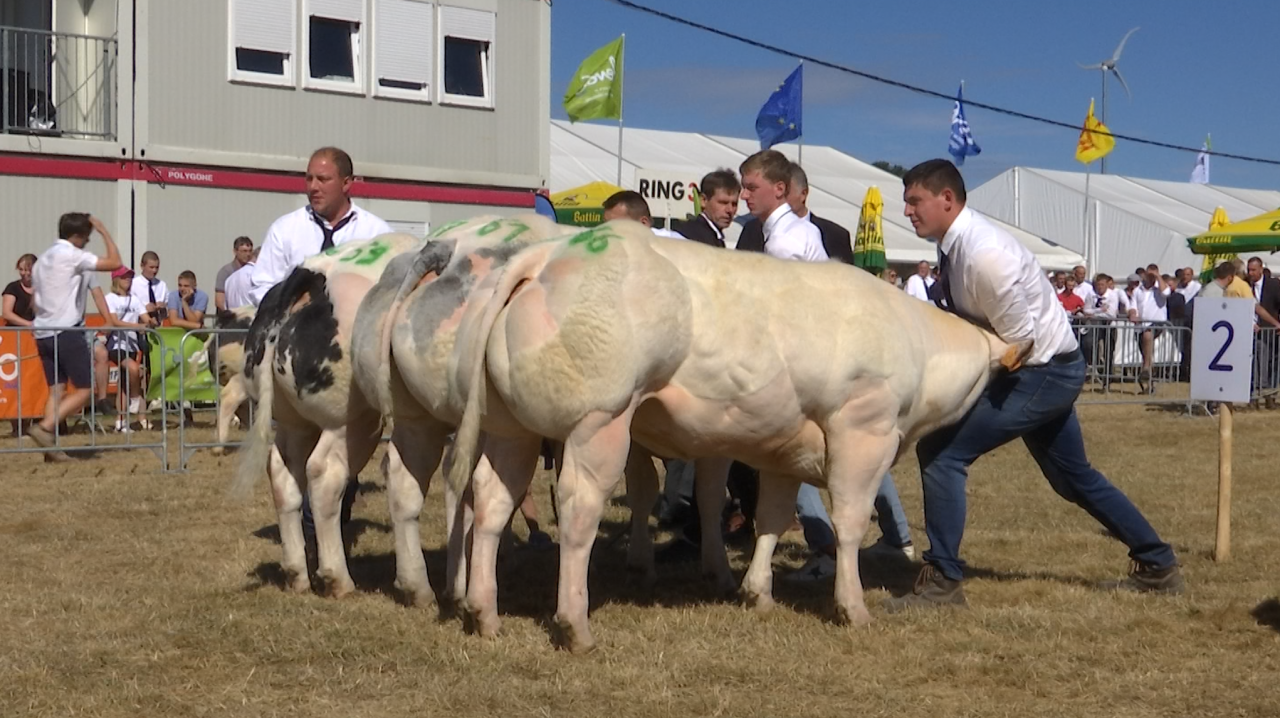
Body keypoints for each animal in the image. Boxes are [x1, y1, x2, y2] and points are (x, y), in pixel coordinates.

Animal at [232, 232, 422, 596]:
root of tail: (311, 276)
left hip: (293, 420)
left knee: (284, 472)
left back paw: (297, 573)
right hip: (351, 419)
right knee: (325, 474)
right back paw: (338, 578)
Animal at [450, 221, 1029, 652]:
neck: (917, 344)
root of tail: (546, 256)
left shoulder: (783, 451)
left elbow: (771, 517)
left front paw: (757, 594)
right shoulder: (865, 432)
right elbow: (849, 523)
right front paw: (853, 606)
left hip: (511, 429)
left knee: (492, 501)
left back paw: (484, 612)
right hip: (600, 422)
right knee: (577, 510)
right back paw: (575, 625)